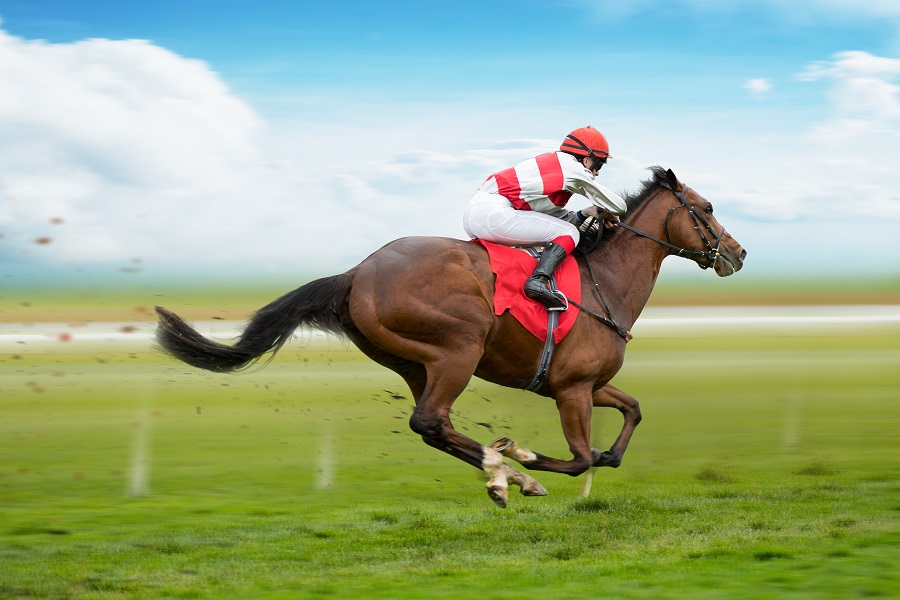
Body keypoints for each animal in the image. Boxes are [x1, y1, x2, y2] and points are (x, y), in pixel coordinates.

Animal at [156, 168, 744, 506]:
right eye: (707, 209)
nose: (737, 253)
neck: (607, 283)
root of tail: (356, 272)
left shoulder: (586, 383)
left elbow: (630, 416)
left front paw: (562, 461)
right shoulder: (572, 389)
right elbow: (580, 457)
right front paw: (529, 460)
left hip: (415, 364)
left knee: (432, 426)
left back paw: (501, 473)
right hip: (458, 350)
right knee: (431, 421)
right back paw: (510, 472)